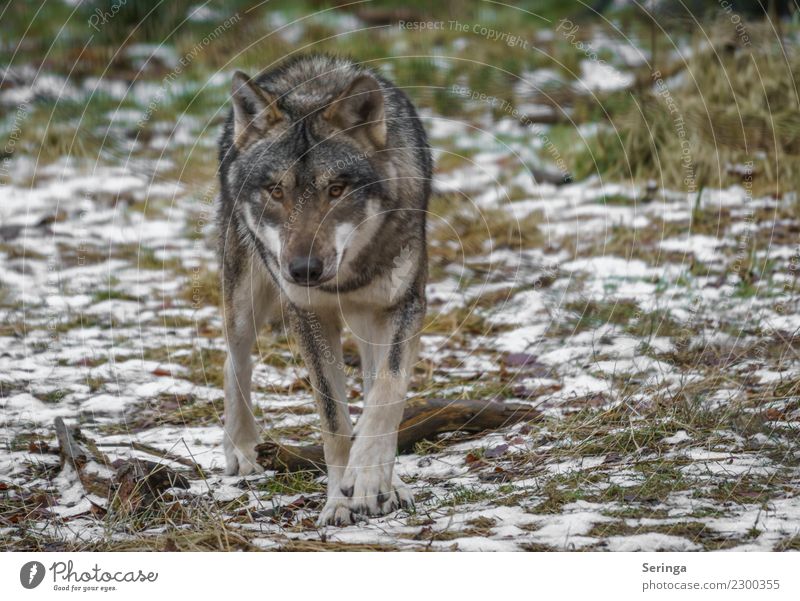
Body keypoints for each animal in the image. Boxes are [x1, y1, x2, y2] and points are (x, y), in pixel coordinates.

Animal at [214, 56, 432, 524]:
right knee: (234, 360)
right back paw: (241, 449)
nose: (303, 270)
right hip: (244, 299)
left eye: (336, 189)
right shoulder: (308, 314)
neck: (348, 275)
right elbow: (334, 421)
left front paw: (369, 482)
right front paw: (339, 501)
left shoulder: (403, 304)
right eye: (276, 191)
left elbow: (387, 392)